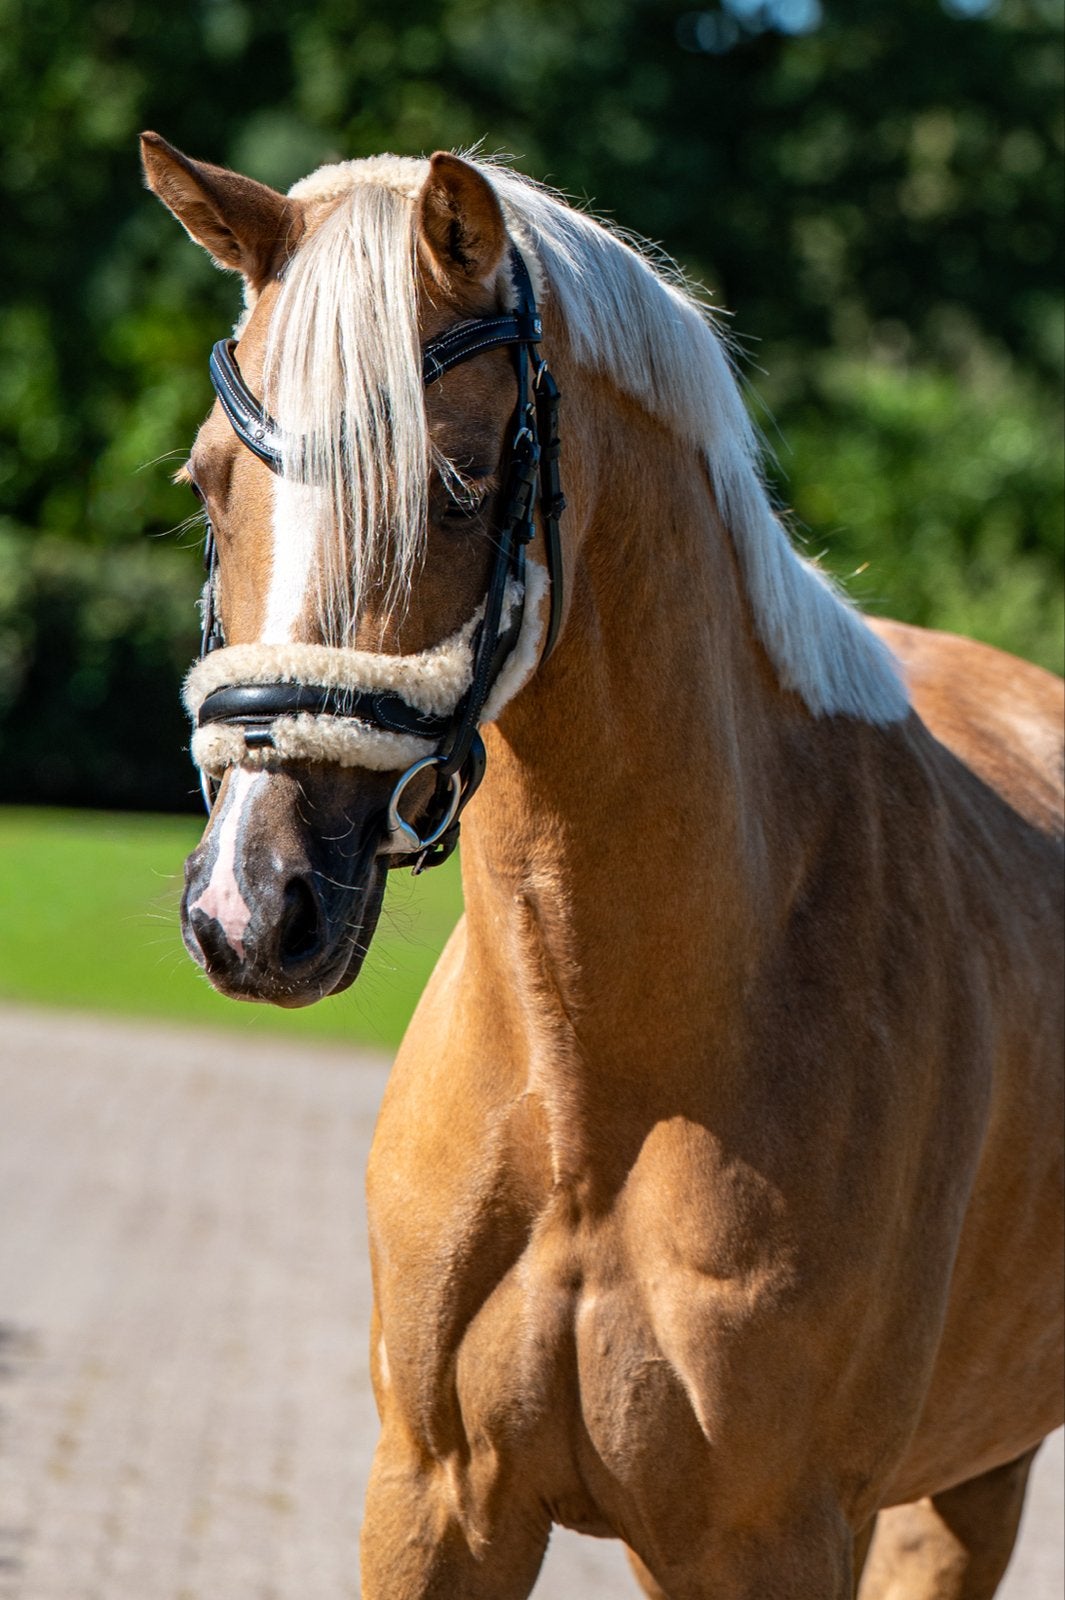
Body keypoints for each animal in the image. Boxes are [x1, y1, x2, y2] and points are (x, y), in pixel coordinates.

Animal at [141, 130, 1064, 1599]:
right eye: (206, 484)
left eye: (460, 482)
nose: (248, 908)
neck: (595, 1082)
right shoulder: (435, 1501)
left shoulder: (764, 1535)